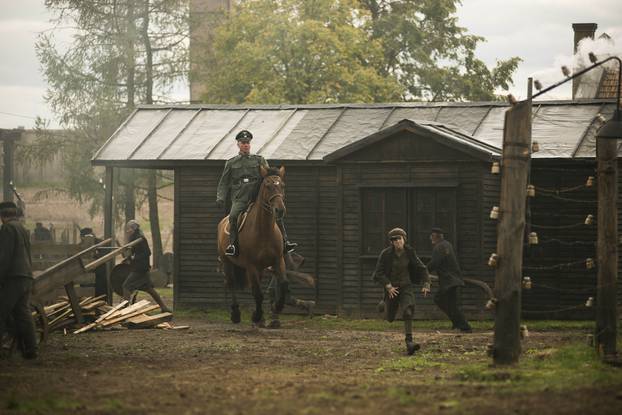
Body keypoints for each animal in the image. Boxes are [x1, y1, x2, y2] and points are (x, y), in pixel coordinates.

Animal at [218, 164, 288, 326]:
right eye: (268, 186)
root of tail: (223, 221)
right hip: (227, 263)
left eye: (282, 185)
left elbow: (283, 284)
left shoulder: (278, 260)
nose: (280, 210)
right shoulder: (251, 266)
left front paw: (277, 307)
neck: (264, 231)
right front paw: (256, 315)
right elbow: (257, 293)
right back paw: (236, 314)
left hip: (260, 268)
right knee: (231, 284)